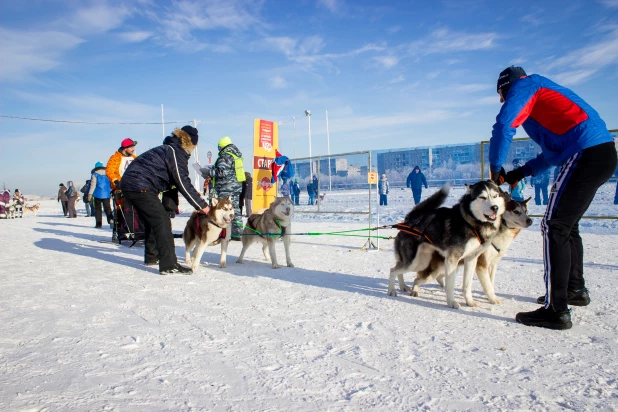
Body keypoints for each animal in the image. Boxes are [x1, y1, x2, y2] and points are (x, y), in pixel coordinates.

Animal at [402, 196, 532, 306]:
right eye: (516, 211)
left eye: (526, 211)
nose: (530, 221)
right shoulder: (481, 265)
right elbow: (487, 284)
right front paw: (493, 299)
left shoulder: (493, 264)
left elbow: (490, 282)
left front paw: (489, 297)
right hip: (434, 268)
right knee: (416, 279)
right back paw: (414, 290)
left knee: (438, 277)